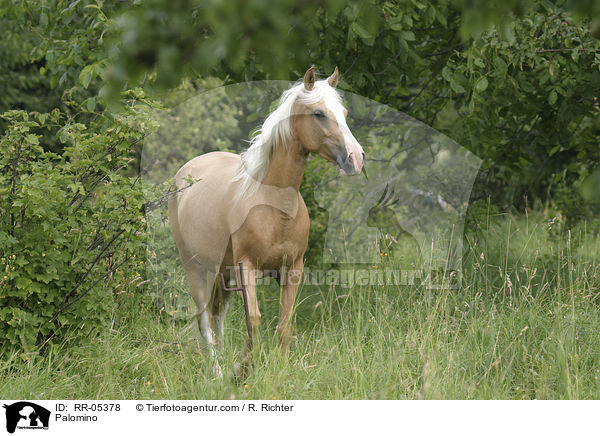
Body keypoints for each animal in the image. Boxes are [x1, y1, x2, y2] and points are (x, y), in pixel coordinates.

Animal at [168, 66, 366, 376]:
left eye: (343, 112)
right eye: (319, 113)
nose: (355, 158)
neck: (275, 207)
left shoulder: (293, 270)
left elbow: (284, 324)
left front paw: (278, 369)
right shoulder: (246, 268)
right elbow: (254, 319)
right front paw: (243, 369)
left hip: (223, 272)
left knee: (217, 315)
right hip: (196, 267)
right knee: (204, 319)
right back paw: (218, 371)